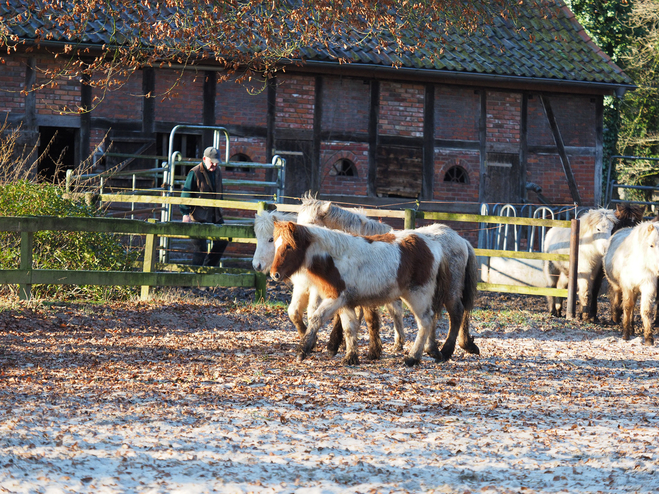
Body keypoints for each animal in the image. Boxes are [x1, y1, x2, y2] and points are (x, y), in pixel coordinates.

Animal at [268, 221, 480, 366]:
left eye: (289, 246)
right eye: (275, 244)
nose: (274, 274)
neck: (335, 257)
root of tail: (433, 244)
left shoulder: (335, 299)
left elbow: (316, 319)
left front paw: (302, 351)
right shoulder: (345, 302)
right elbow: (349, 327)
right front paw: (351, 356)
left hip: (419, 296)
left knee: (429, 321)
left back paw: (415, 357)